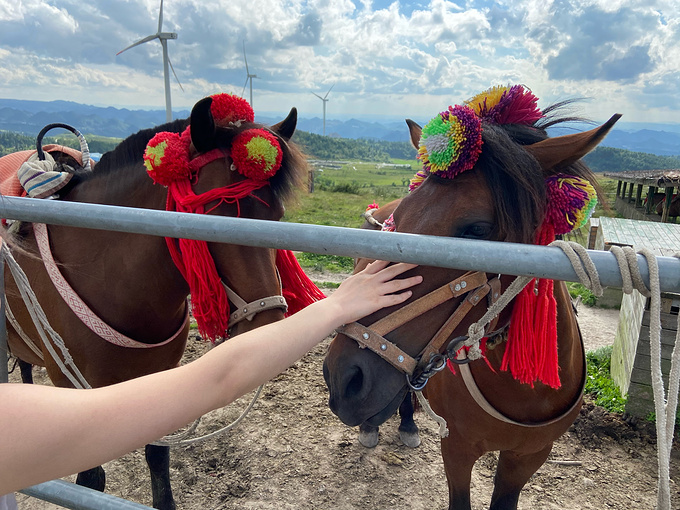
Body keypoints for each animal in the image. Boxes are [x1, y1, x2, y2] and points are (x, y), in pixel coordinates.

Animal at [324, 84, 620, 510]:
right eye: (403, 219)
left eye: (477, 229)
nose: (343, 378)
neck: (522, 392)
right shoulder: (458, 448)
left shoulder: (528, 457)